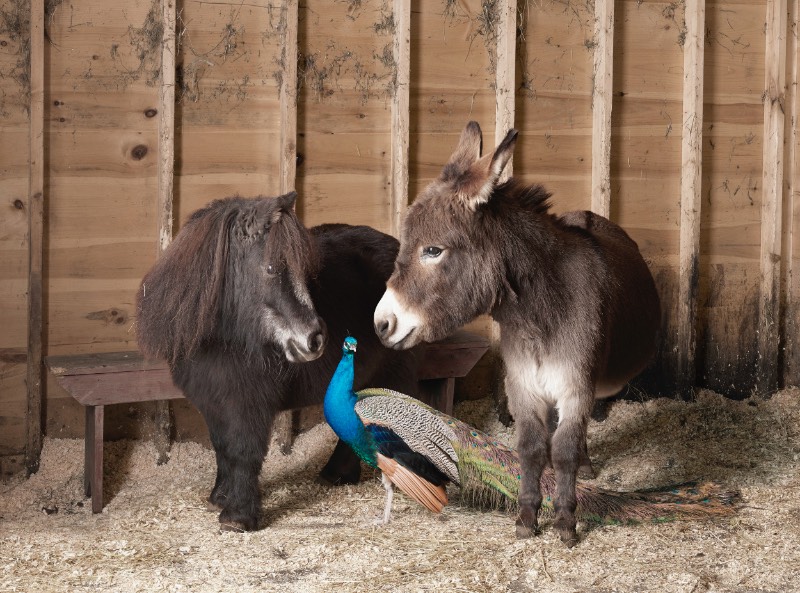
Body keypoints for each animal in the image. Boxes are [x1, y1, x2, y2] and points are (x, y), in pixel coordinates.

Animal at [136, 192, 418, 528]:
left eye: (305, 272)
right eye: (271, 268)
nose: (315, 340)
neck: (225, 341)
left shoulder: (249, 404)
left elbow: (243, 451)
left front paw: (238, 516)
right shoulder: (213, 401)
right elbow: (222, 448)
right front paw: (219, 496)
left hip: (394, 376)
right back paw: (336, 474)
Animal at [372, 121, 660, 544]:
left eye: (433, 250)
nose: (381, 324)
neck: (539, 314)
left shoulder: (576, 384)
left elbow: (564, 449)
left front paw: (565, 521)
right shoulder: (522, 384)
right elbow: (531, 448)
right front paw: (527, 516)